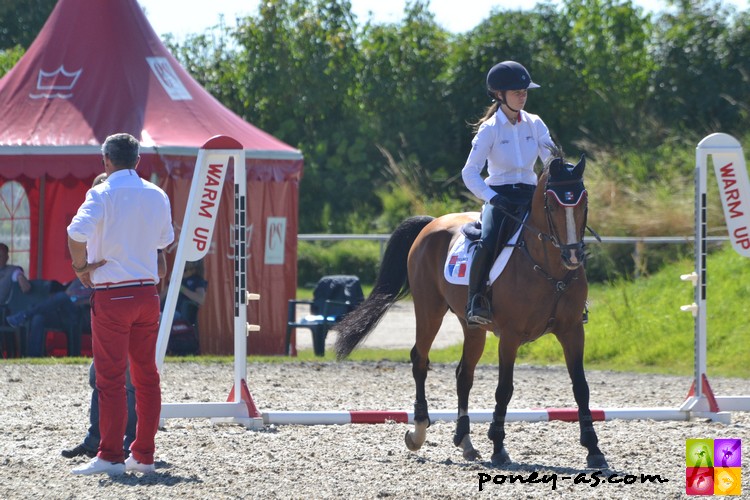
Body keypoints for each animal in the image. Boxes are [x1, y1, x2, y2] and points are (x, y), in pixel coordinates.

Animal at [338, 148, 608, 468]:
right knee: (420, 360)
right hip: (429, 309)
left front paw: (594, 450)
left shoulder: (572, 331)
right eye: (552, 205)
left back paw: (465, 441)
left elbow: (581, 387)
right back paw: (418, 433)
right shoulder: (510, 336)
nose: (573, 256)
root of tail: (432, 222)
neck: (549, 269)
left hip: (473, 327)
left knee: (463, 373)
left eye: (584, 202)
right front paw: (499, 447)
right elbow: (504, 389)